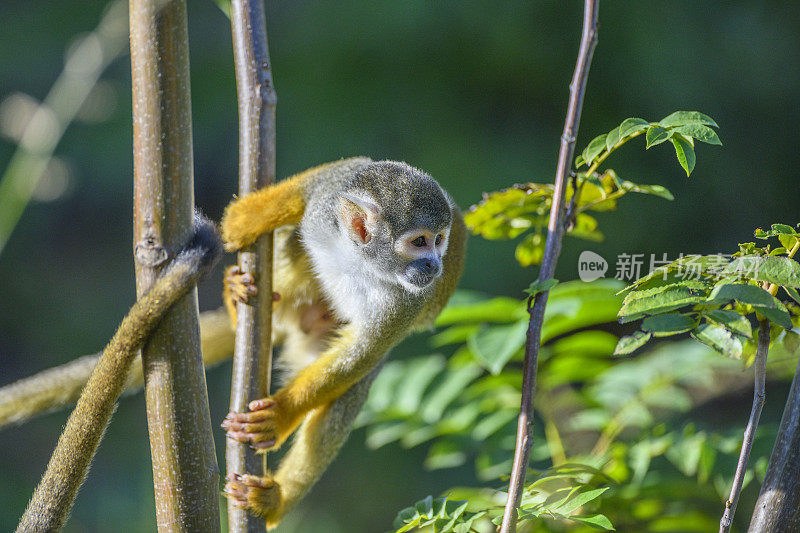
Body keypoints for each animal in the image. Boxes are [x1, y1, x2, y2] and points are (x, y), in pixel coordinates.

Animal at [220, 156, 468, 524]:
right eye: (420, 242)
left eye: (439, 241)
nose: (434, 266)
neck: (361, 262)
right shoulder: (327, 207)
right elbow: (311, 188)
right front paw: (247, 216)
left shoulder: (409, 301)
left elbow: (363, 350)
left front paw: (279, 415)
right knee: (293, 243)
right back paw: (240, 303)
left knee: (349, 391)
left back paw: (274, 501)